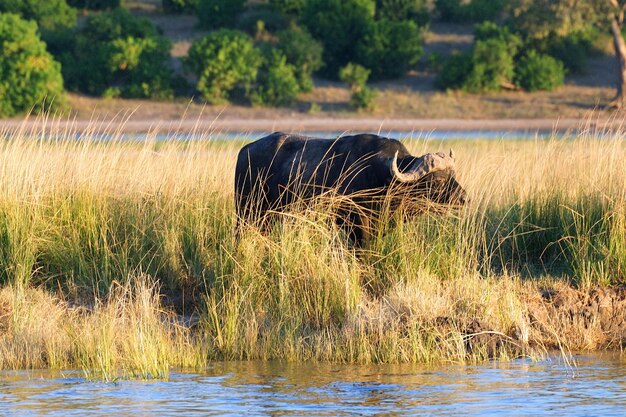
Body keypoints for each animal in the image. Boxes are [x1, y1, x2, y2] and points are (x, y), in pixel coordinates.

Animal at [236, 132, 466, 244]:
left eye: (453, 176)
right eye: (437, 180)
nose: (464, 198)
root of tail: (246, 150)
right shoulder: (357, 223)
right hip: (246, 211)